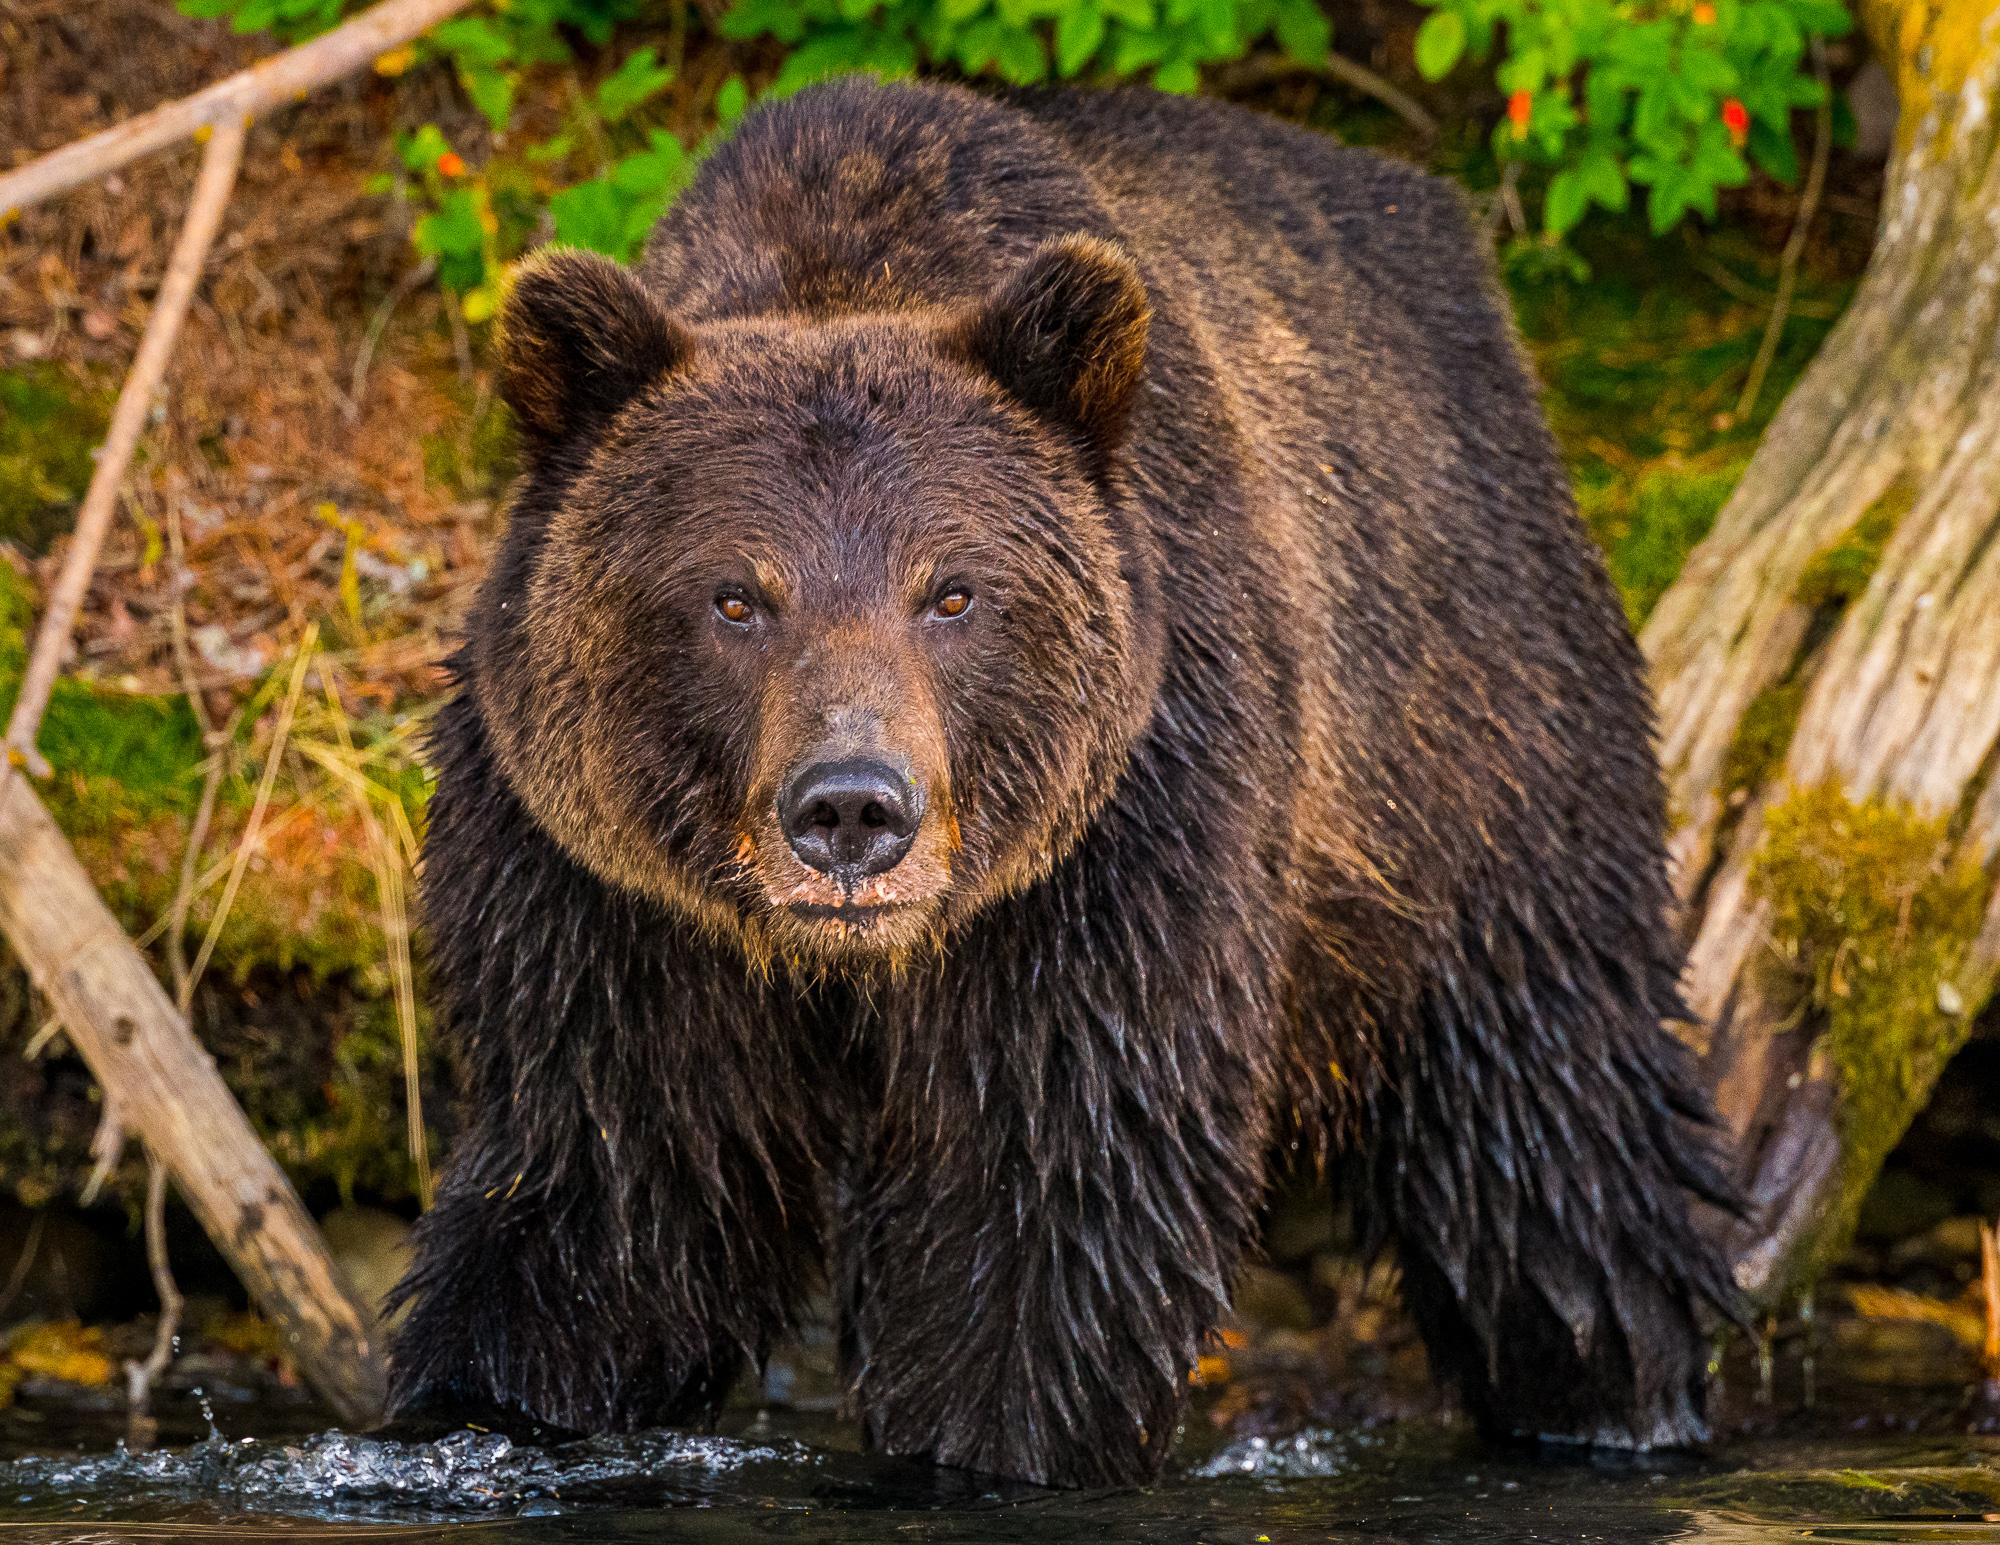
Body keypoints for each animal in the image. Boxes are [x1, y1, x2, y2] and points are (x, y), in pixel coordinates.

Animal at [386, 77, 1741, 1488]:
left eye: (952, 591)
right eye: (733, 596)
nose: (851, 809)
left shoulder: (1110, 853)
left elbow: (1044, 1199)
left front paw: (987, 1445)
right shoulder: (607, 899)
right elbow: (611, 1198)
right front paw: (494, 1402)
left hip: (1469, 741)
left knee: (1549, 1117)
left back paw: (1613, 1391)